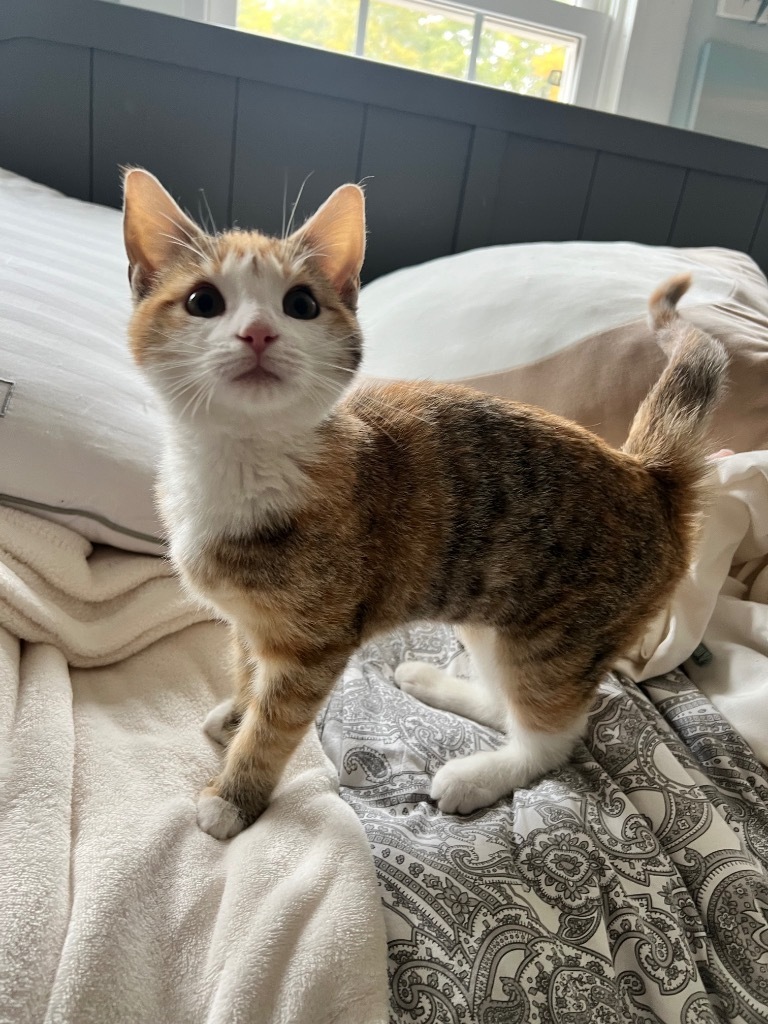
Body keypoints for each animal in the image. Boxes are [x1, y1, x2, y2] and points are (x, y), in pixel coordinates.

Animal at [123, 167, 729, 839]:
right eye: (203, 301)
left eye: (300, 304)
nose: (258, 332)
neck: (243, 460)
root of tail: (649, 472)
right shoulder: (250, 621)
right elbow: (247, 666)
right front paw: (238, 710)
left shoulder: (316, 642)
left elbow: (276, 723)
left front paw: (234, 791)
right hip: (498, 615)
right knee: (506, 698)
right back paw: (434, 682)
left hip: (562, 635)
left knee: (553, 735)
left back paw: (478, 775)